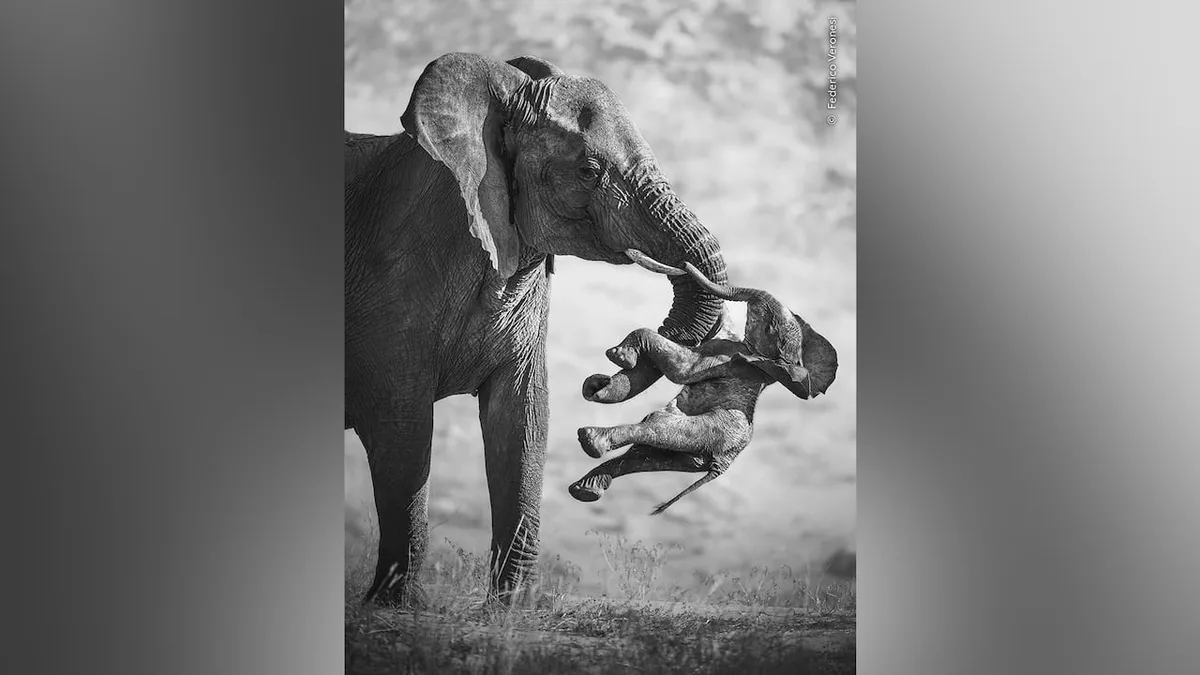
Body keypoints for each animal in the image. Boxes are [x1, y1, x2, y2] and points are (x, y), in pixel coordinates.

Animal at [344, 53, 730, 605]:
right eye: (588, 171)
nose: (603, 373)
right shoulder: (390, 287)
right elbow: (403, 429)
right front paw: (396, 608)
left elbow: (523, 419)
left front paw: (512, 611)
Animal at [569, 256, 837, 514]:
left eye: (769, 326)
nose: (683, 264)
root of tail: (722, 465)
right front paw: (596, 384)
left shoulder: (726, 357)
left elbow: (681, 369)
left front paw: (619, 357)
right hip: (693, 454)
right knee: (644, 456)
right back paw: (585, 489)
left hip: (709, 431)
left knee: (656, 427)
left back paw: (591, 441)